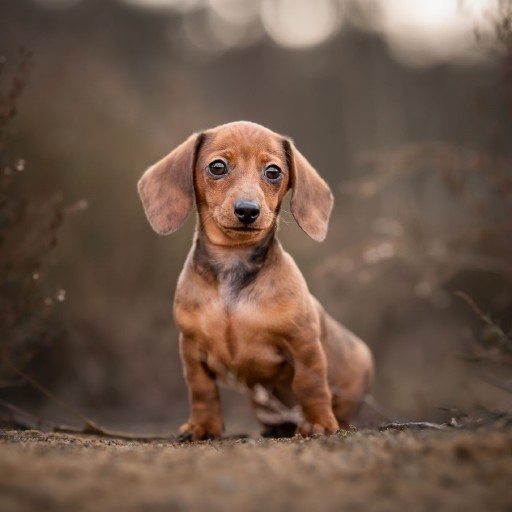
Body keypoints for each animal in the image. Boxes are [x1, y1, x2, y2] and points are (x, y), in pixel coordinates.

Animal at [138, 121, 374, 440]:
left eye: (273, 171)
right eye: (217, 166)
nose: (248, 210)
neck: (233, 263)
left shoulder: (304, 343)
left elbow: (310, 385)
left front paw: (318, 423)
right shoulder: (191, 347)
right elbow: (201, 389)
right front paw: (203, 425)